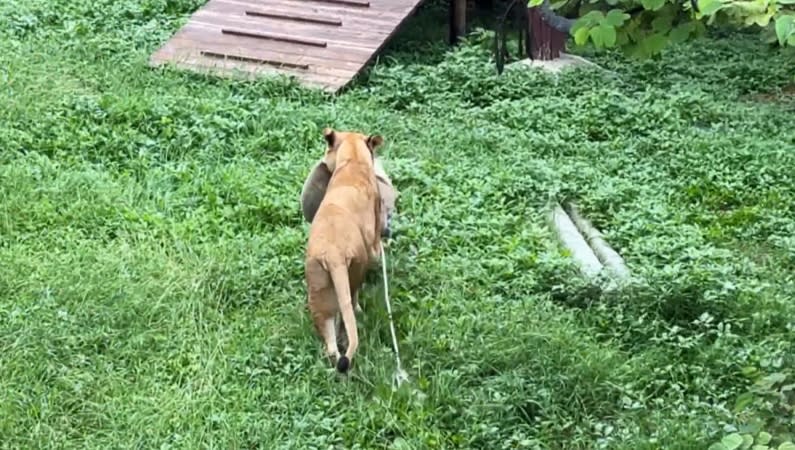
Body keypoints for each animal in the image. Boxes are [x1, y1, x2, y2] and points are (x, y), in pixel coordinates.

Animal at [304, 127, 384, 372]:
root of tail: (334, 254)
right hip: (356, 267)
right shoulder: (373, 232)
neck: (352, 160)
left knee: (331, 341)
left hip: (318, 287)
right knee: (353, 300)